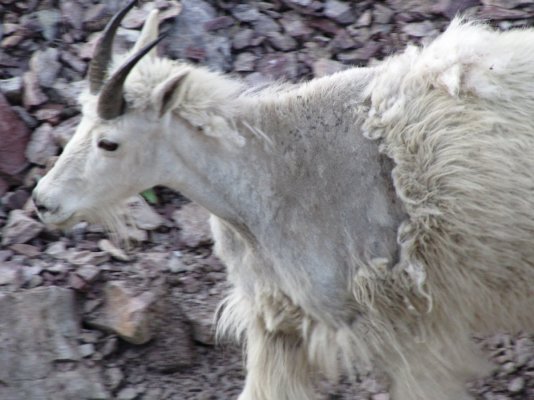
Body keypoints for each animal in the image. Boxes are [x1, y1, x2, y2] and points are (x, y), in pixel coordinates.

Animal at [33, 1, 534, 398]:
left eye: (109, 143)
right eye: (79, 116)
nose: (43, 202)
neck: (272, 175)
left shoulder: (411, 327)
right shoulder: (280, 323)